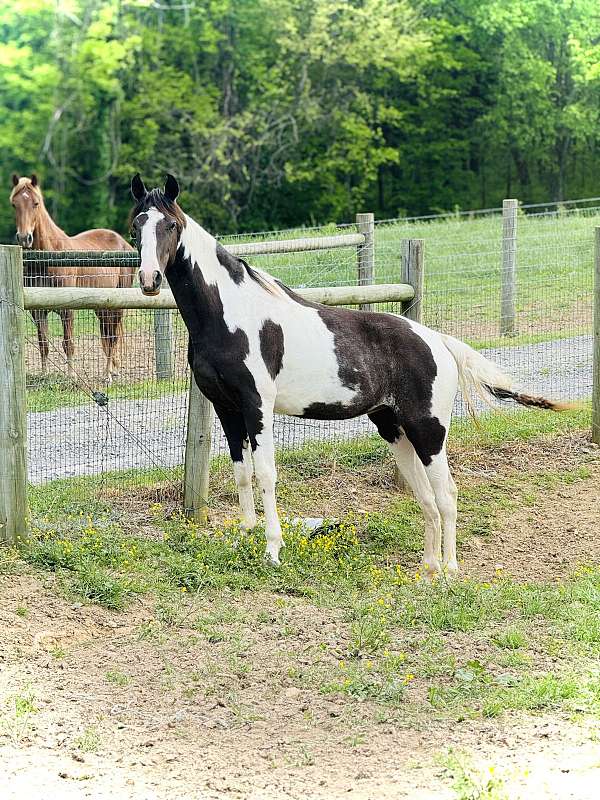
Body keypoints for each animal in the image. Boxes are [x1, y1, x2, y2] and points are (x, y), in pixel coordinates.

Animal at [10, 174, 135, 384]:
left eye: (36, 203)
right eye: (14, 204)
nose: (24, 238)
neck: (48, 258)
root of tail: (126, 245)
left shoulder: (67, 309)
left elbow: (68, 343)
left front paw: (70, 376)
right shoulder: (38, 311)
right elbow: (43, 343)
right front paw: (44, 375)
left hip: (117, 306)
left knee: (112, 338)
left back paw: (107, 375)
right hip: (102, 307)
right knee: (106, 336)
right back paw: (111, 371)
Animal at [131, 175, 568, 576]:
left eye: (170, 226)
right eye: (137, 225)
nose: (150, 280)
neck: (231, 316)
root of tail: (439, 342)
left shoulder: (258, 407)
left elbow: (266, 473)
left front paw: (272, 550)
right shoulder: (227, 409)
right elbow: (242, 474)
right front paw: (244, 538)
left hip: (429, 431)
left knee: (446, 494)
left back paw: (449, 570)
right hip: (395, 429)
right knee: (426, 497)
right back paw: (427, 570)